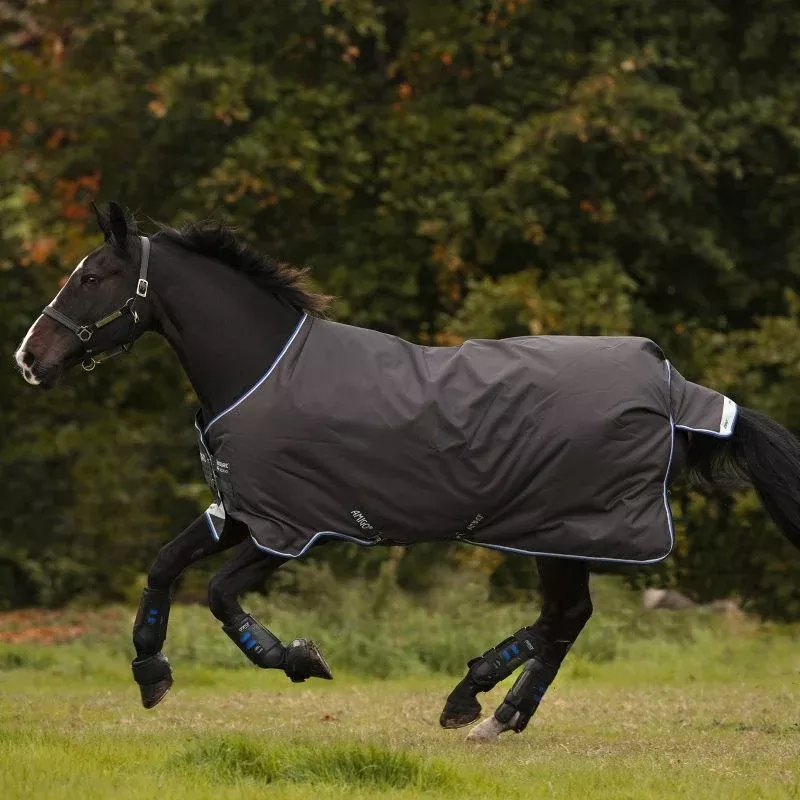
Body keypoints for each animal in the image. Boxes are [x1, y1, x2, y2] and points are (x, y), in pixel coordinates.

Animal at [14, 202, 800, 742]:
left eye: (92, 276)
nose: (29, 358)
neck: (261, 373)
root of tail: (672, 387)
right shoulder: (241, 510)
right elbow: (163, 566)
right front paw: (152, 677)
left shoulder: (295, 529)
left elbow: (217, 593)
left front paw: (299, 658)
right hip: (561, 533)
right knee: (566, 621)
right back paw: (496, 715)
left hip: (560, 530)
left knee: (564, 618)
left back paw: (473, 700)